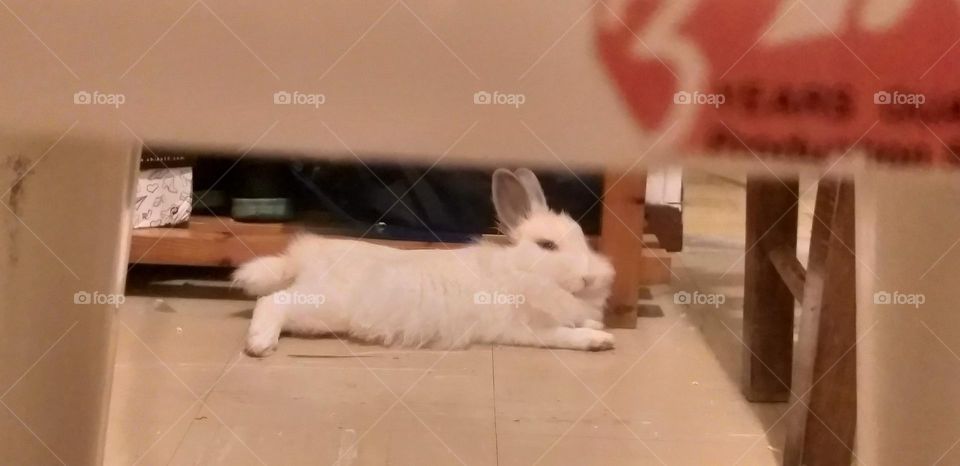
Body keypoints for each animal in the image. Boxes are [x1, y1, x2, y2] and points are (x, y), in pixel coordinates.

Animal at [234, 168, 616, 357]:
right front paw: (599, 340)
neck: (518, 271)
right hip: (322, 305)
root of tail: (303, 258)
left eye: (583, 239)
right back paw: (260, 344)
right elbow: (564, 336)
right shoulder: (528, 330)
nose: (590, 278)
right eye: (547, 245)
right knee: (271, 301)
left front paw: (596, 326)